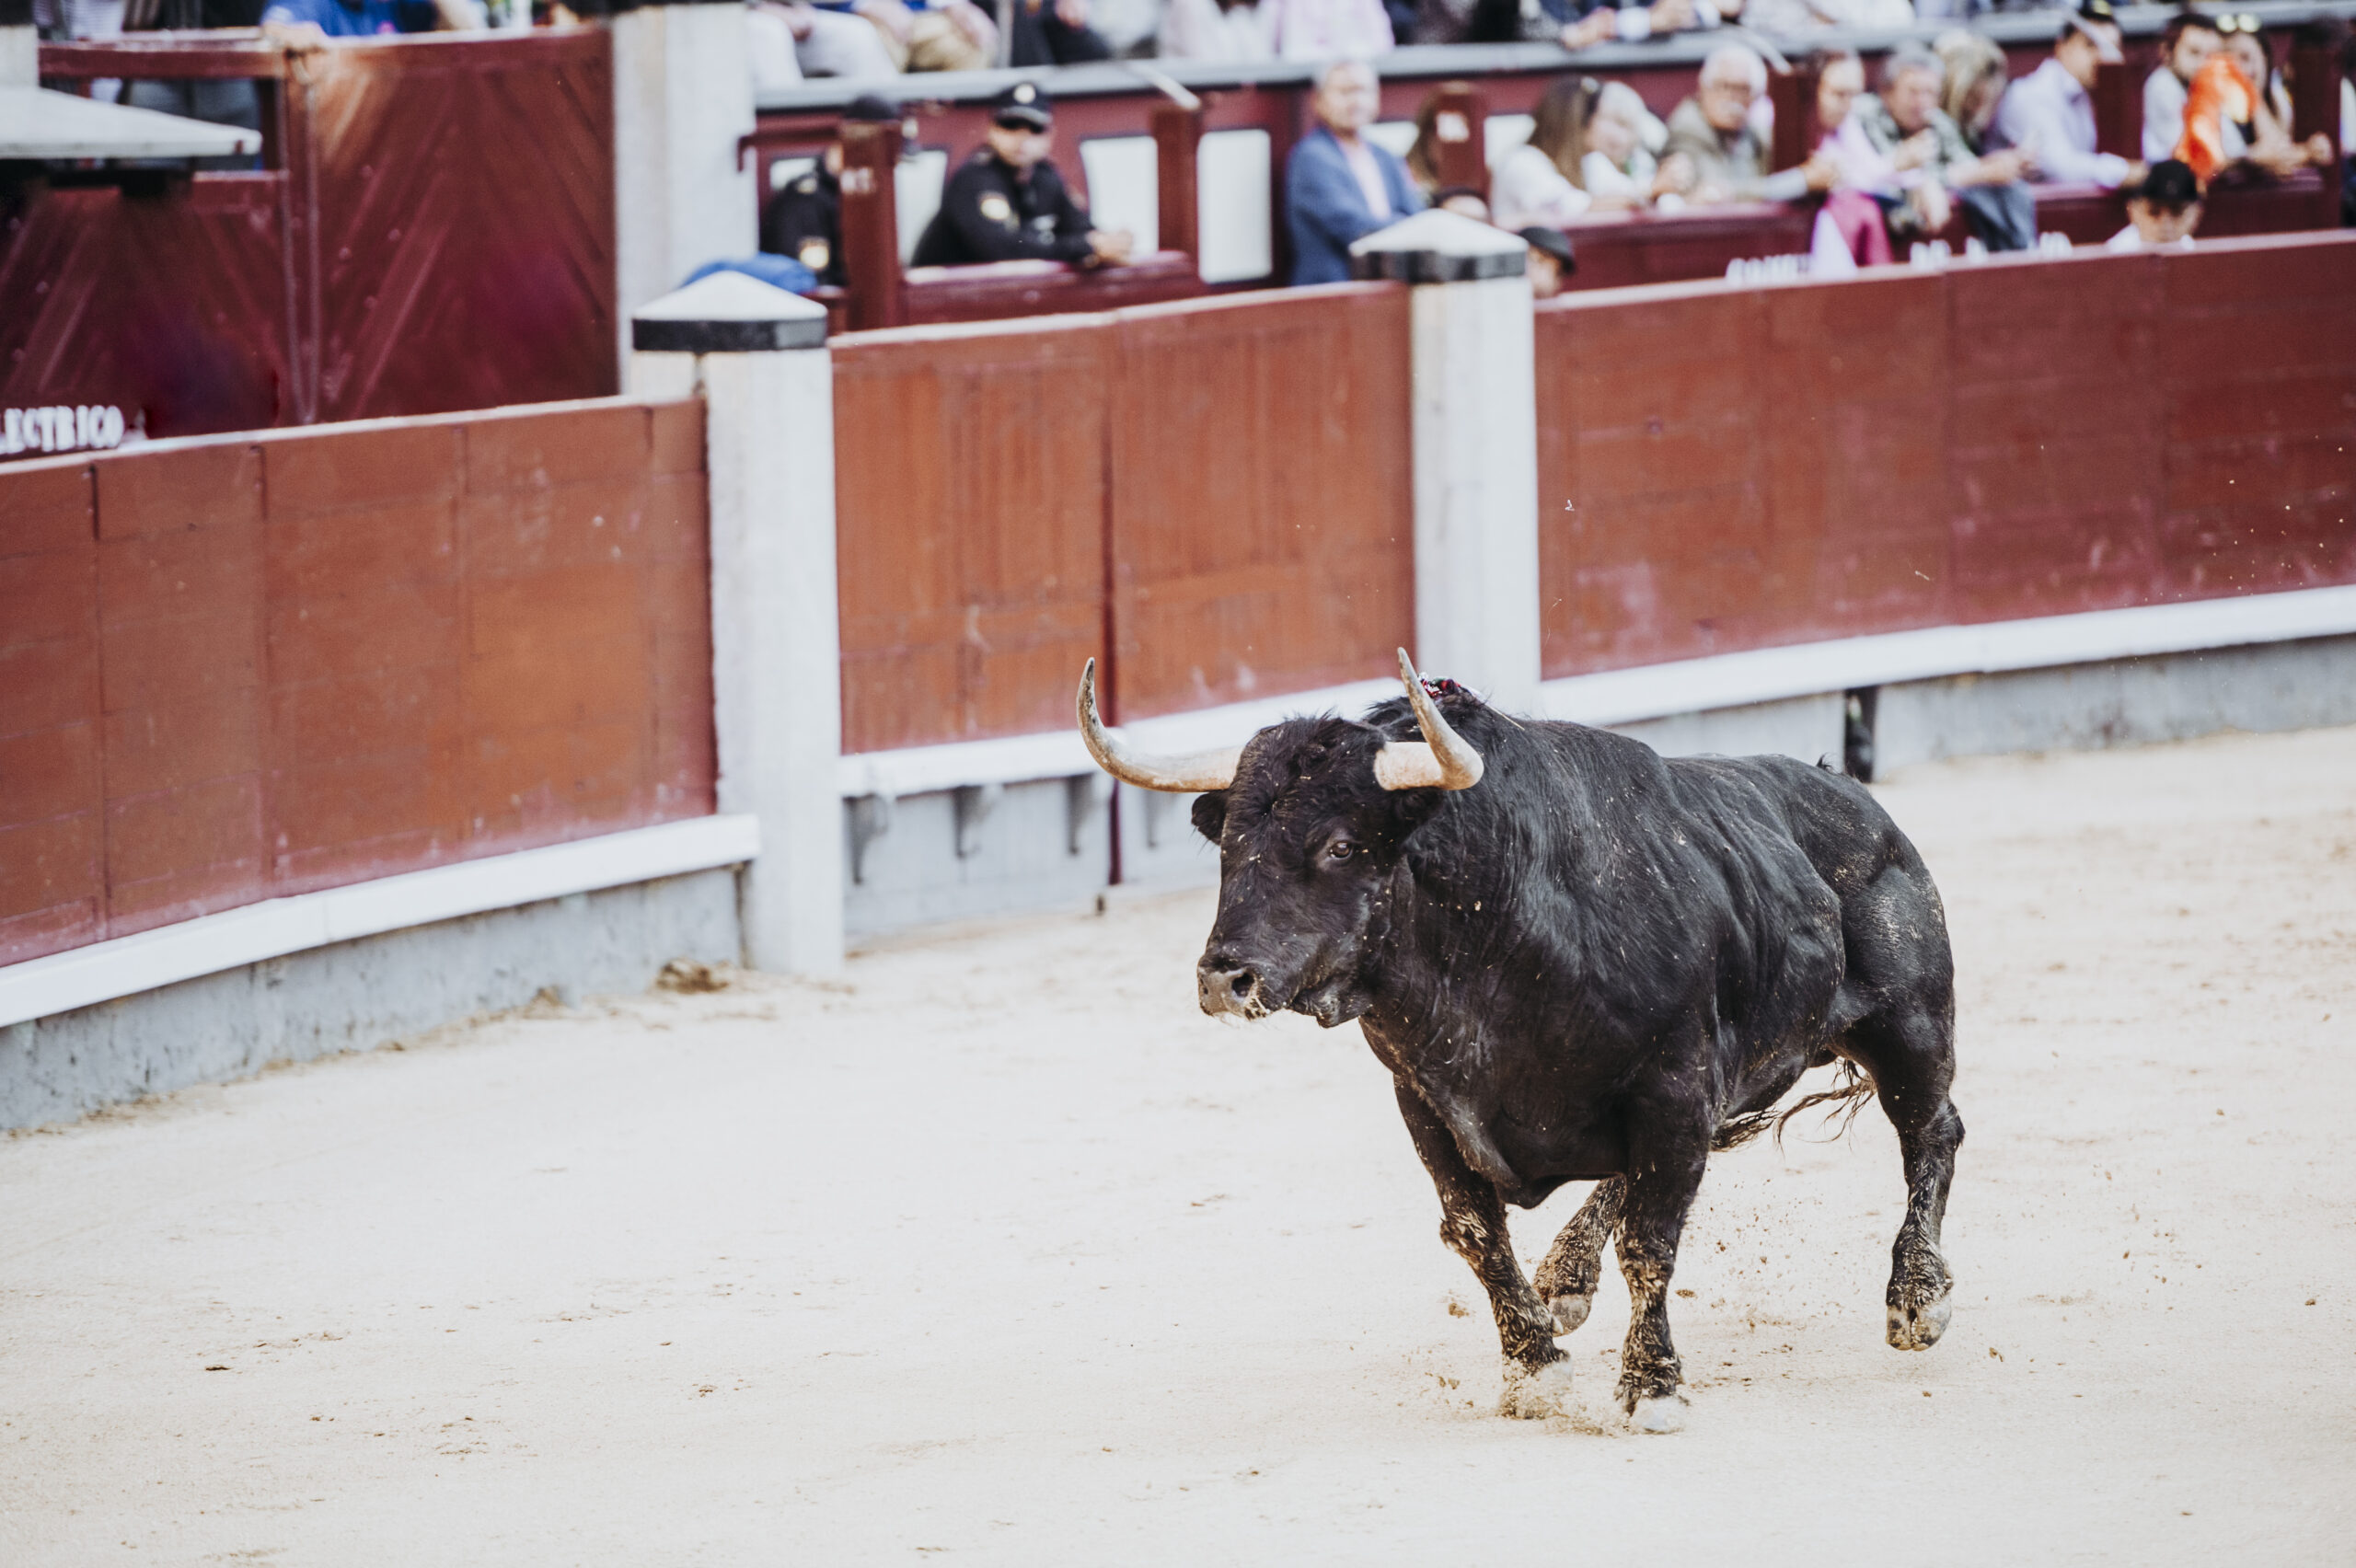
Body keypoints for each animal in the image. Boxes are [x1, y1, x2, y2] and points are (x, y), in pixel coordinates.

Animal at [1149, 677, 1959, 1422]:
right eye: (1230, 848)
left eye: (1342, 844)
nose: (1225, 979)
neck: (1503, 933)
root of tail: (1852, 796)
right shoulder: (1426, 1103)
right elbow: (1477, 1233)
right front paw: (1533, 1369)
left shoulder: (1674, 1086)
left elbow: (1650, 1244)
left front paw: (1651, 1386)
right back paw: (1565, 1278)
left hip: (1910, 1027)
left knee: (1933, 1131)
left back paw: (1917, 1300)